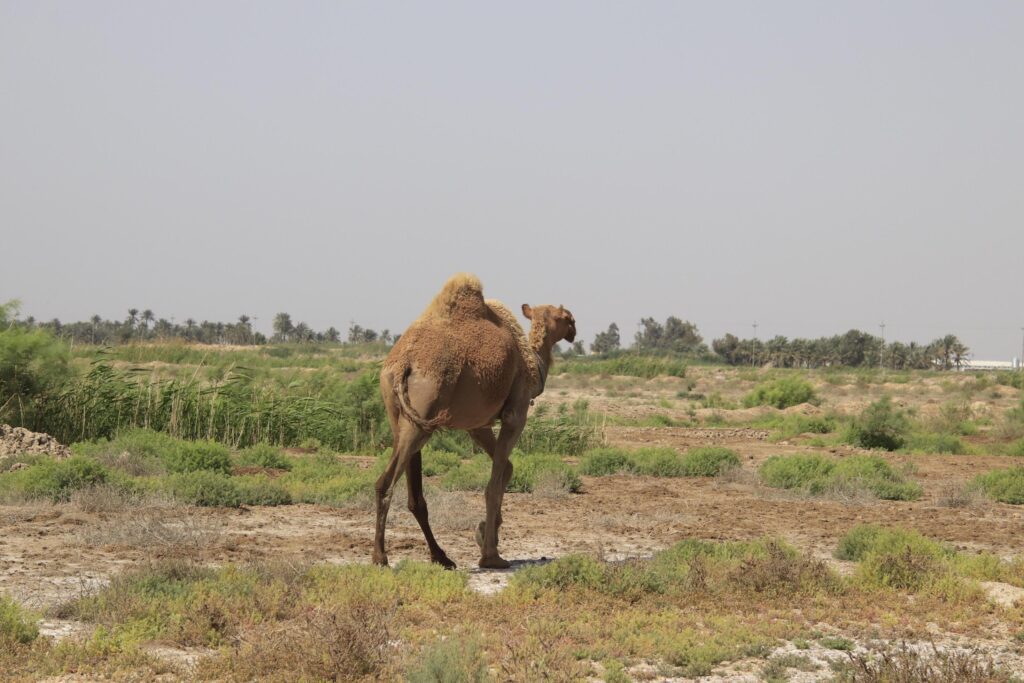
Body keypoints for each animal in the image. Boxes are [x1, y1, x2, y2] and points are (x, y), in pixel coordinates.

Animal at [372, 274, 577, 569]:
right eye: (567, 318)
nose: (574, 330)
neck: (531, 361)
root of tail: (403, 365)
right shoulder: (516, 414)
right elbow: (493, 483)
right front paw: (491, 554)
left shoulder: (477, 425)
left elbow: (507, 470)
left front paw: (484, 534)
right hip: (422, 415)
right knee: (386, 482)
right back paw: (381, 556)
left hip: (397, 411)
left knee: (413, 494)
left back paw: (440, 556)